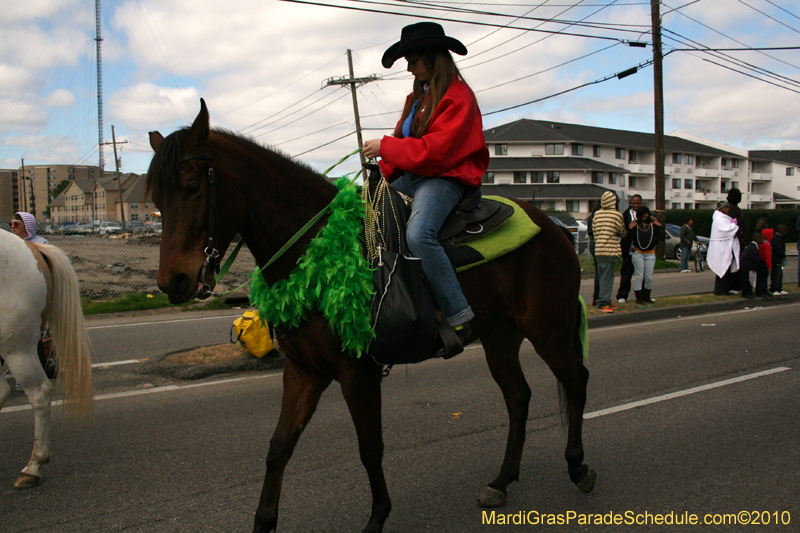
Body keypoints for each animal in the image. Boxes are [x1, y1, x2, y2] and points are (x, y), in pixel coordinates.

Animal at [147, 98, 592, 528]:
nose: (173, 282)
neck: (314, 247)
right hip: (500, 336)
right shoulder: (303, 373)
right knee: (518, 397)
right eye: (155, 200)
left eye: (191, 187)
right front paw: (264, 521)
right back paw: (501, 482)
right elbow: (278, 448)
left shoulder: (357, 374)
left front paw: (377, 517)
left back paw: (577, 466)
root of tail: (556, 228)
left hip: (548, 330)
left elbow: (369, 448)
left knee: (576, 381)